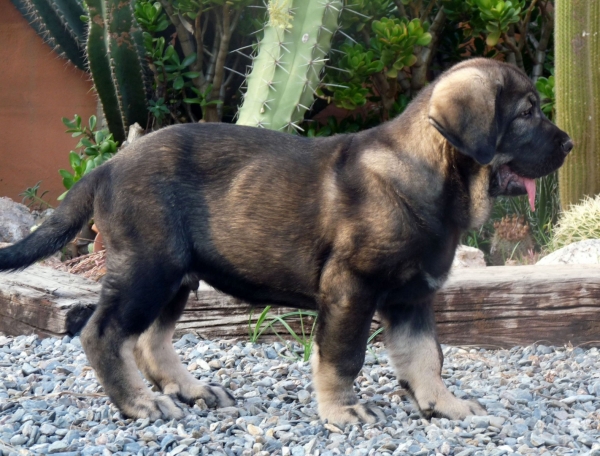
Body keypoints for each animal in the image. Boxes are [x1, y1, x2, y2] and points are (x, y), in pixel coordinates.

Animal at [0, 58, 572, 426]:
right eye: (526, 113)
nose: (569, 144)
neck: (433, 174)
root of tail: (108, 166)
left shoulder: (413, 298)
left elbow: (426, 356)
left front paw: (443, 405)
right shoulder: (351, 287)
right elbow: (342, 357)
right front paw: (342, 411)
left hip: (176, 275)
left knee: (149, 340)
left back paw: (190, 390)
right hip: (149, 267)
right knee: (104, 334)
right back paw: (139, 405)